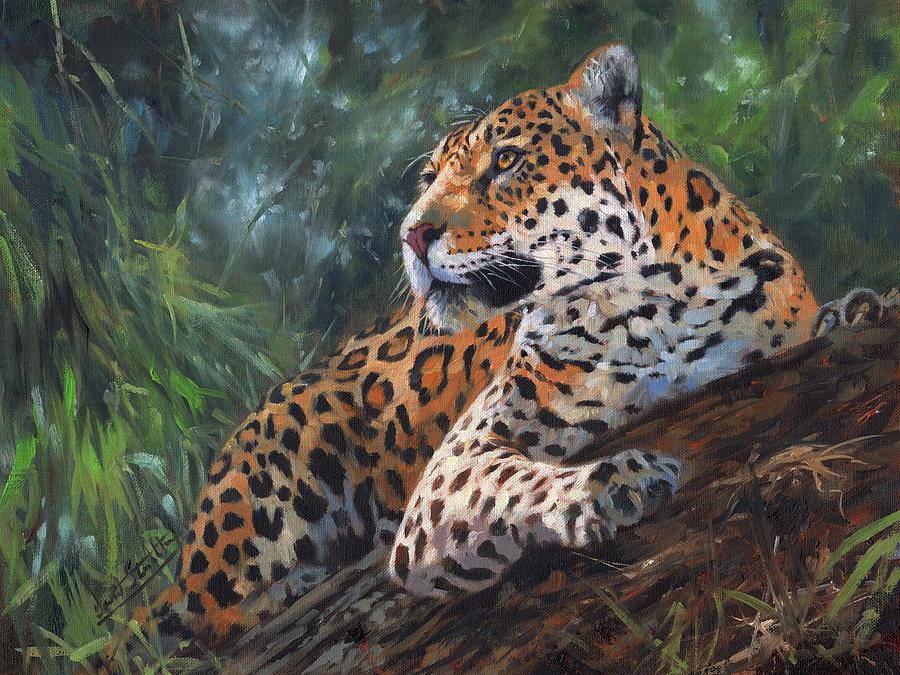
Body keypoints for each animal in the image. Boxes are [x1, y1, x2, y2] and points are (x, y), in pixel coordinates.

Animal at [116, 43, 882, 651]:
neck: (652, 306)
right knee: (207, 613)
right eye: (430, 180)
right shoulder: (452, 469)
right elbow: (514, 479)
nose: (412, 233)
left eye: (507, 163)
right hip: (282, 465)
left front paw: (858, 307)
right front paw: (611, 483)